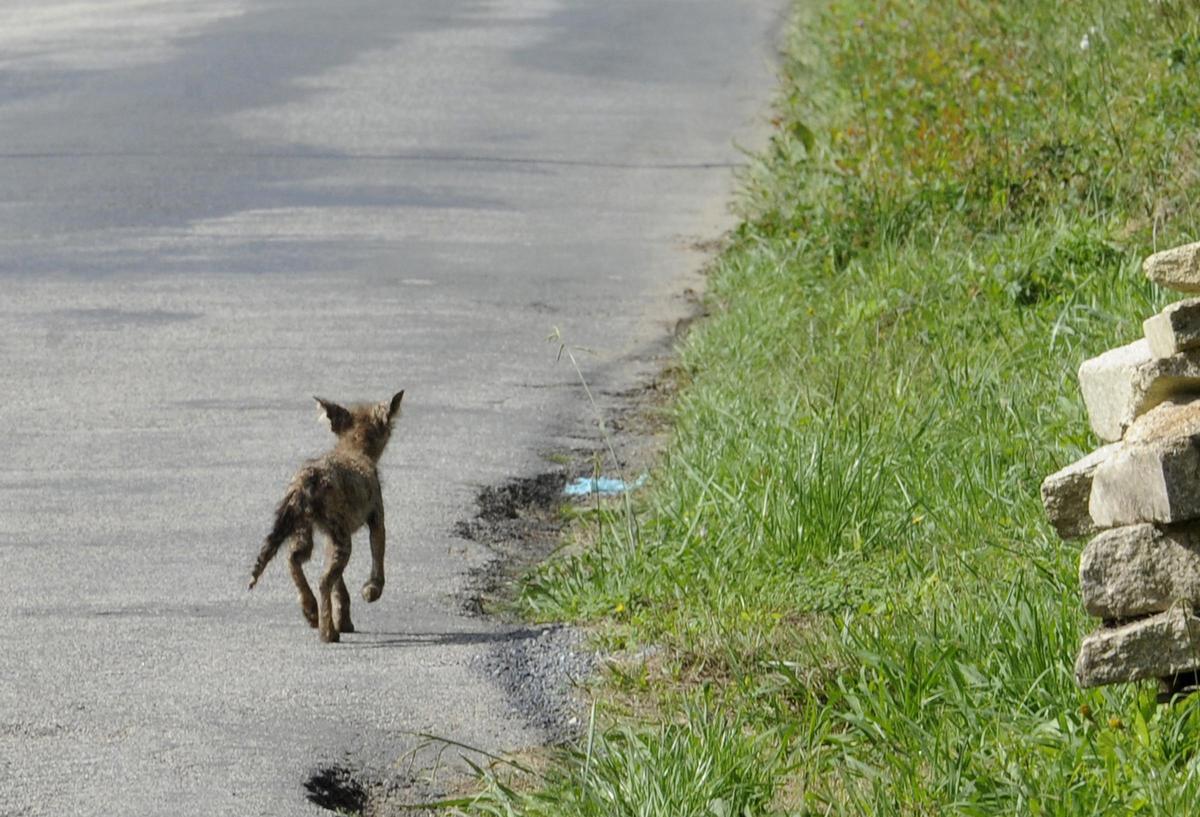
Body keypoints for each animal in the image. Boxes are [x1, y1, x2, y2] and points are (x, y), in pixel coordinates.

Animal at [250, 391, 405, 638]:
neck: (354, 449)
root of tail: (306, 479)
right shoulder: (376, 516)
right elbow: (377, 557)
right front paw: (371, 591)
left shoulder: (328, 537)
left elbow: (339, 587)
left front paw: (344, 621)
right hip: (342, 537)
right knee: (323, 580)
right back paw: (328, 633)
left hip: (304, 528)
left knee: (294, 559)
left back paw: (312, 612)